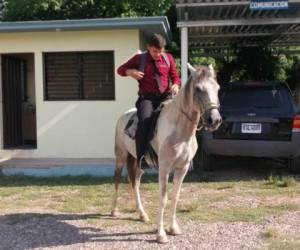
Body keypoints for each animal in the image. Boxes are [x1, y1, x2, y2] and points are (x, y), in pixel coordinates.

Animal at [111, 63, 221, 243]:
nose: (215, 120)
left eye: (217, 88)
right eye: (198, 89)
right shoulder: (164, 168)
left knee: (135, 182)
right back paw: (114, 210)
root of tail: (123, 116)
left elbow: (175, 196)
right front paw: (161, 234)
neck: (180, 129)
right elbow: (163, 198)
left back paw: (142, 214)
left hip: (138, 162)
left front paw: (173, 228)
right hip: (121, 156)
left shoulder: (182, 168)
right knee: (118, 179)